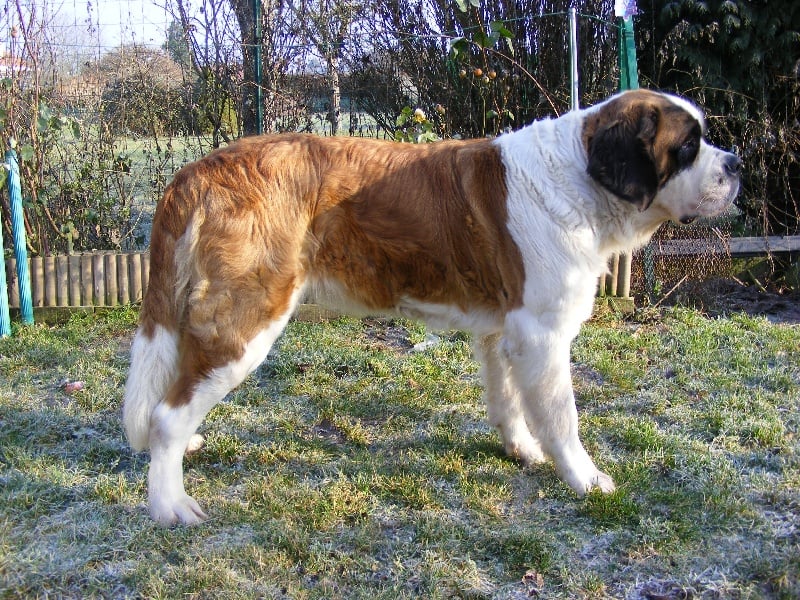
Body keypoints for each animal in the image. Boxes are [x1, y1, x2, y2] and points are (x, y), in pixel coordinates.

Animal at [122, 89, 740, 524]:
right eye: (688, 147)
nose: (734, 163)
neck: (581, 180)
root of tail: (198, 171)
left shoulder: (504, 333)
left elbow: (508, 400)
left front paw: (520, 450)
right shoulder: (542, 333)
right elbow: (562, 415)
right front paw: (586, 480)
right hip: (246, 321)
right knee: (167, 414)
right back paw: (170, 505)